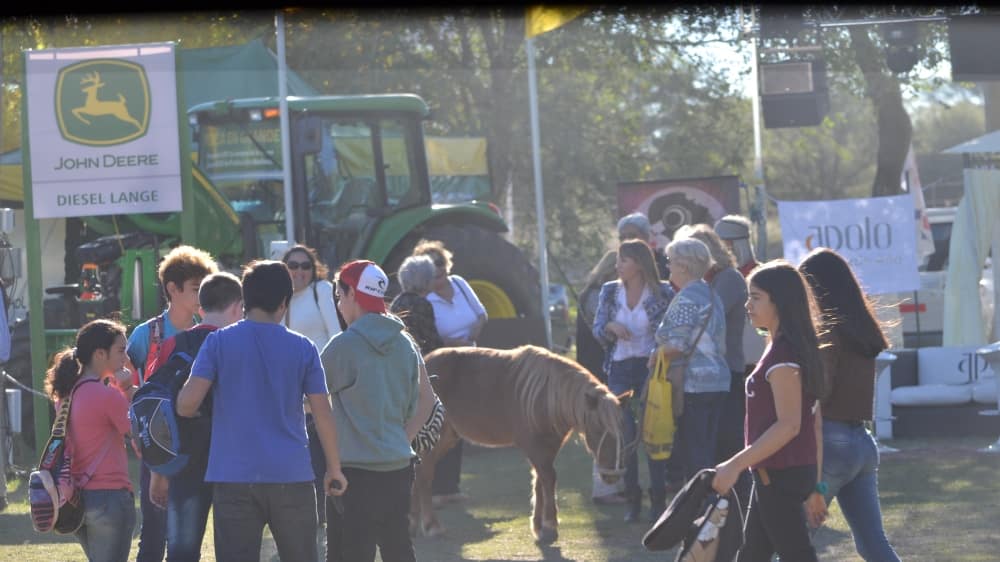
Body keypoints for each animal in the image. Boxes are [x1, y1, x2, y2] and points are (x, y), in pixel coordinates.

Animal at [410, 344, 628, 540]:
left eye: (621, 428)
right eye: (598, 428)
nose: (613, 474)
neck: (546, 396)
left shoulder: (548, 448)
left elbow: (540, 482)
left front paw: (538, 525)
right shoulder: (534, 447)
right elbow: (548, 478)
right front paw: (550, 523)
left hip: (444, 439)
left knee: (419, 475)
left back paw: (415, 522)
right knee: (424, 477)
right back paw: (431, 525)